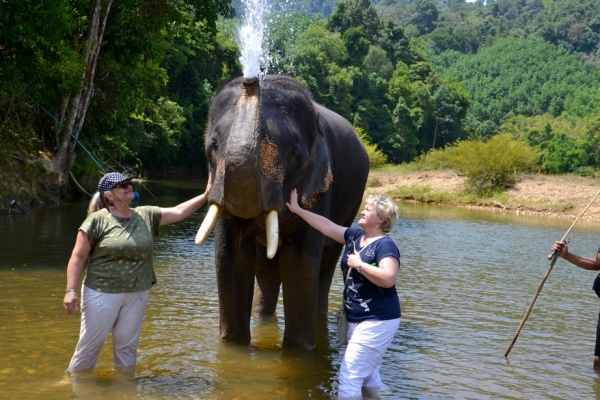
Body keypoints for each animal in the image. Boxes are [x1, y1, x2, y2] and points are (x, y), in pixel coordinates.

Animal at [196, 75, 370, 350]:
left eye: (294, 152)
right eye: (213, 145)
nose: (251, 78)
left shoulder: (320, 189)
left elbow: (300, 264)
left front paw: (298, 353)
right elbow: (230, 257)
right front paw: (232, 346)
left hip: (350, 208)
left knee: (326, 263)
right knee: (266, 270)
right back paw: (261, 316)